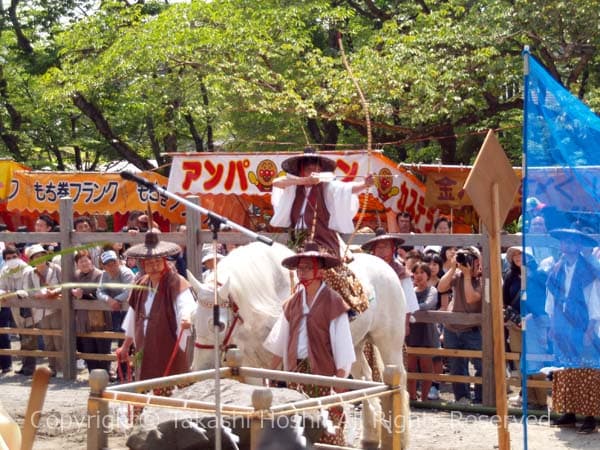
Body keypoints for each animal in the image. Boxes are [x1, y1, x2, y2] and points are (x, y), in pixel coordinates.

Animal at [190, 241, 410, 444]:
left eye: (218, 324)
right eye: (192, 320)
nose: (201, 369)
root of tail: (384, 266)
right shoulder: (251, 364)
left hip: (389, 342)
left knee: (398, 378)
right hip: (352, 348)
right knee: (365, 379)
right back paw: (370, 435)